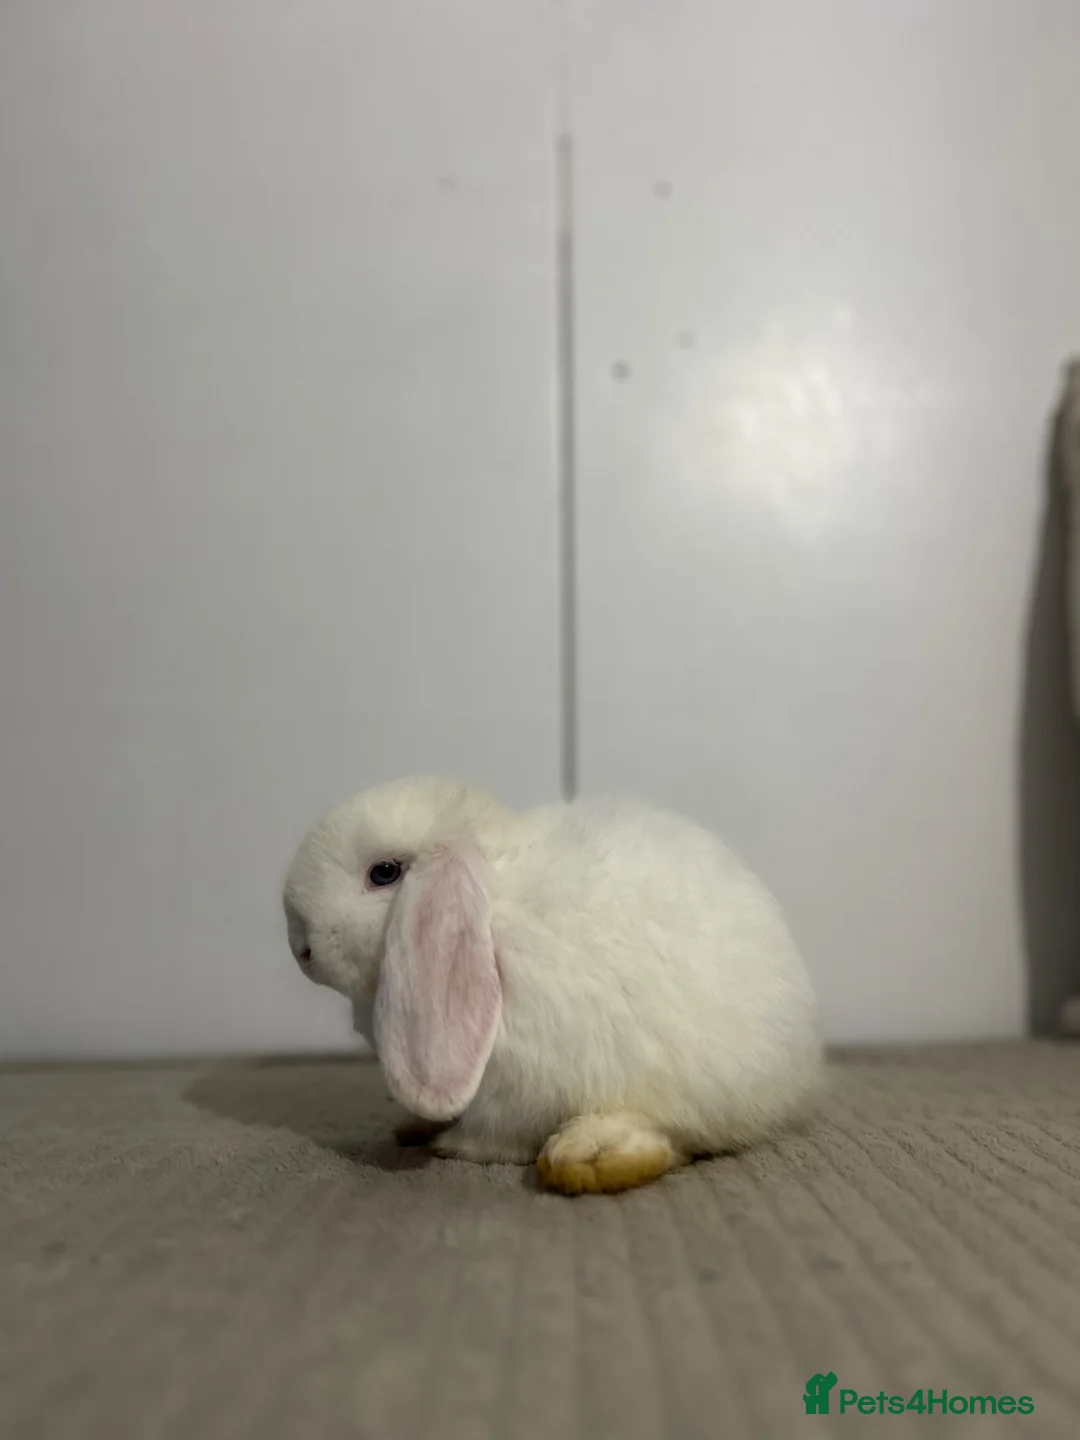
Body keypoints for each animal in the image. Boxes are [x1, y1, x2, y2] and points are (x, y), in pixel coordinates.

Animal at [282, 776, 823, 1194]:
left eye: (384, 873)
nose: (300, 949)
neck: (492, 907)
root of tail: (799, 1072)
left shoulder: (516, 1089)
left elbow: (499, 1137)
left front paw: (455, 1147)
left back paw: (587, 1156)